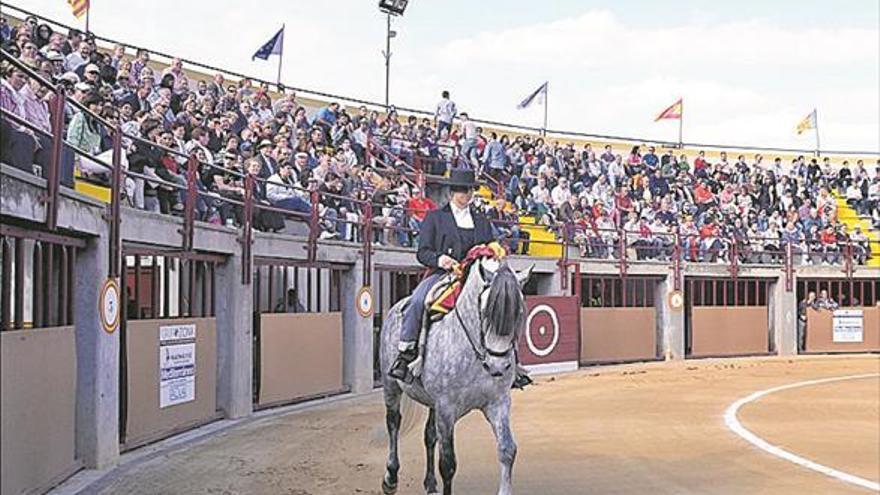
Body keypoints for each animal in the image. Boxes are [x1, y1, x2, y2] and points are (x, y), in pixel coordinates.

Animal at [376, 256, 528, 495]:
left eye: (519, 313)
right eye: (485, 311)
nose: (498, 366)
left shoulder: (498, 402)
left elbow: (507, 449)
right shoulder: (446, 408)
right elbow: (448, 464)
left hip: (431, 403)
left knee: (429, 436)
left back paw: (430, 484)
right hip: (391, 385)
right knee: (393, 423)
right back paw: (390, 478)